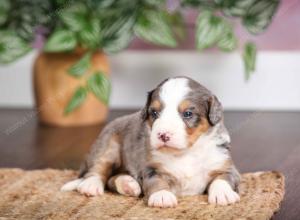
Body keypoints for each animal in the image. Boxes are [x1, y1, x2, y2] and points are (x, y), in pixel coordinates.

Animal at [61, 76, 241, 207]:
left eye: (188, 113)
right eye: (154, 112)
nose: (163, 135)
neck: (185, 153)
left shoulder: (226, 165)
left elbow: (222, 178)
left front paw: (223, 194)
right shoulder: (151, 169)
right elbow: (157, 181)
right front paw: (162, 196)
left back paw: (128, 184)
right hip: (108, 144)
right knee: (99, 169)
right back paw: (92, 185)